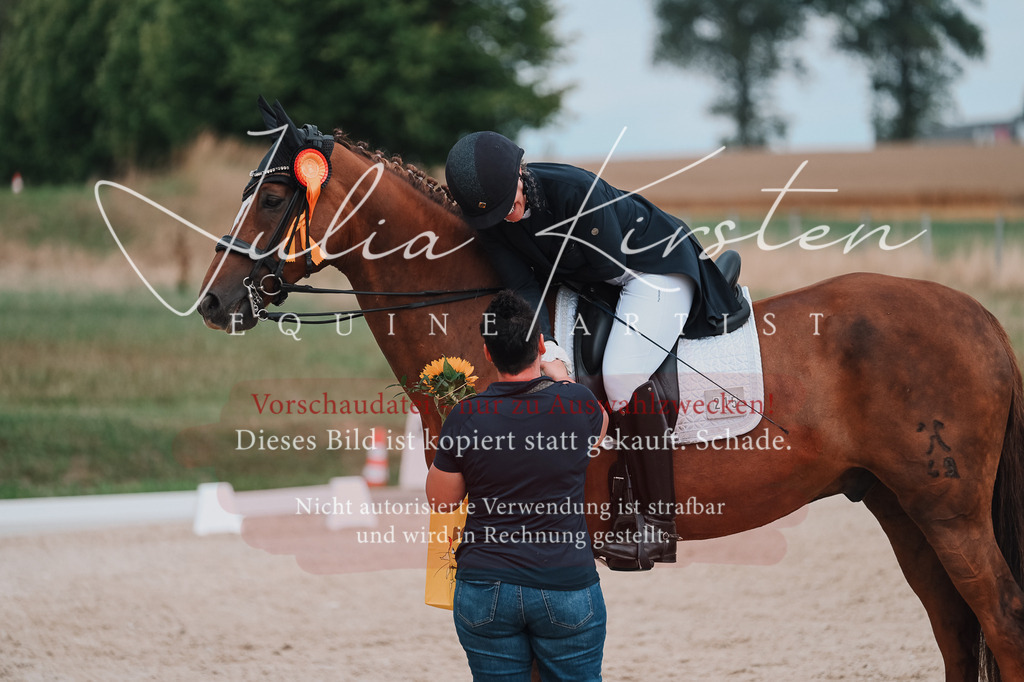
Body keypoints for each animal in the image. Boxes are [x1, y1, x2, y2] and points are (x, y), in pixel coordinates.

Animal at [198, 116, 1024, 681]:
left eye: (276, 196)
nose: (213, 303)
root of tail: (979, 317)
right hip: (898, 506)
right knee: (956, 629)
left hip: (946, 509)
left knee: (1001, 617)